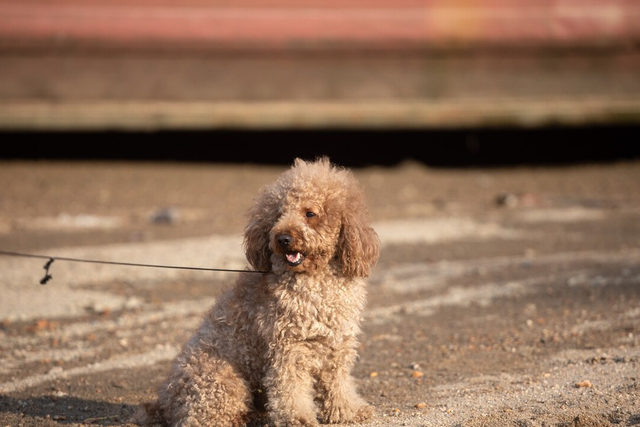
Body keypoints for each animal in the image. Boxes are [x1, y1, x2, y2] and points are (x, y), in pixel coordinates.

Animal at [132, 157, 378, 427]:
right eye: (278, 214)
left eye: (310, 214)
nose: (283, 238)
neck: (315, 282)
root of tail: (166, 402)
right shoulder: (288, 348)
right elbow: (289, 389)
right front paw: (298, 418)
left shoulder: (337, 345)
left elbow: (338, 383)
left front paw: (349, 411)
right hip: (223, 383)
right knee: (201, 418)